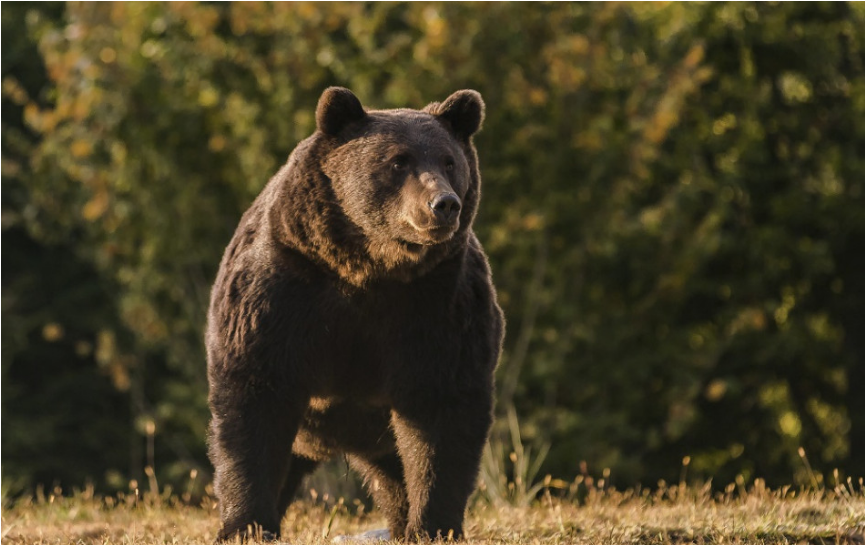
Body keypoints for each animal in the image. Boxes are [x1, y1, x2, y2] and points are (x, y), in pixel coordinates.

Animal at [206, 87, 502, 540]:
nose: (444, 204)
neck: (369, 267)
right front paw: (246, 525)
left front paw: (434, 525)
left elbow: (442, 411)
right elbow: (254, 400)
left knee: (396, 475)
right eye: (398, 160)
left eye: (450, 161)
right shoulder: (282, 291)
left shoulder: (439, 304)